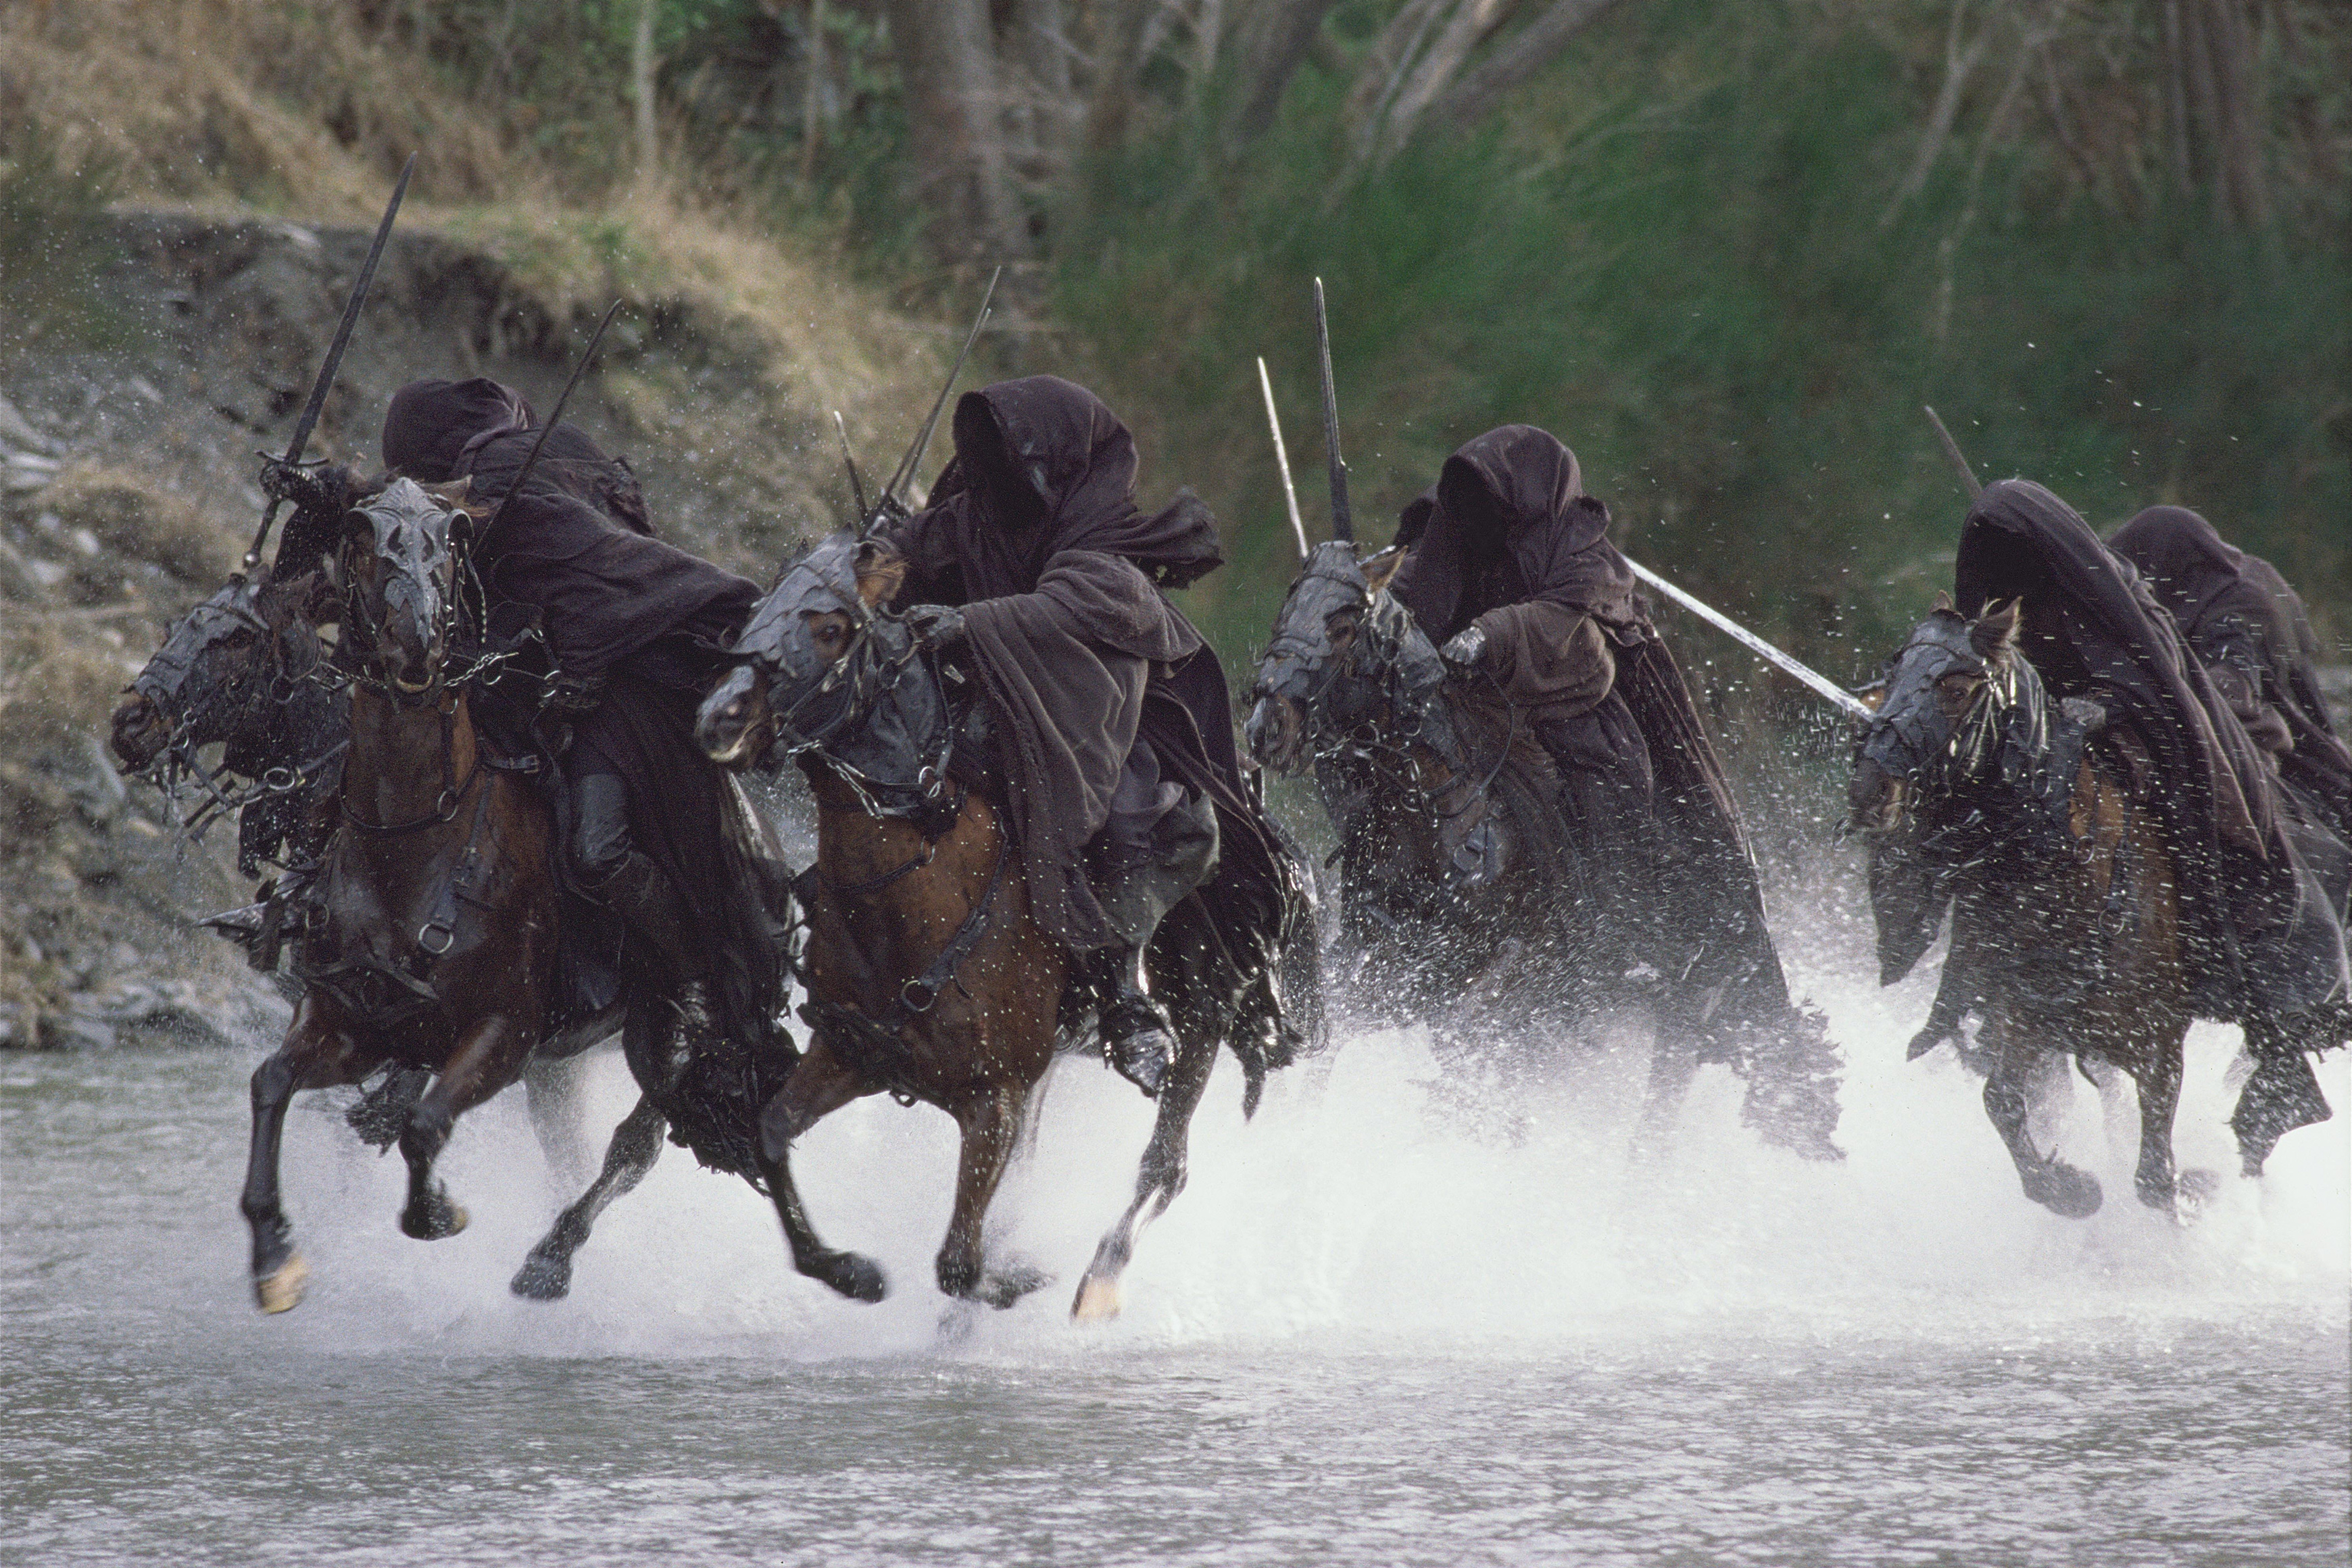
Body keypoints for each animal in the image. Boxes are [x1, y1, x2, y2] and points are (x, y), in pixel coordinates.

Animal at [696, 533, 1326, 1316]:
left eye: (830, 628)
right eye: (756, 614)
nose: (717, 719)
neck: (915, 891)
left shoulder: (991, 1101)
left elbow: (960, 1265)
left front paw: (1023, 1275)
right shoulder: (850, 1056)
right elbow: (772, 1132)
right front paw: (849, 1270)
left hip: (1203, 1015)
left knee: (1165, 1165)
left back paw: (1099, 1279)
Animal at [1844, 595, 2211, 1222]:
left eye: (1956, 687)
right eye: (1893, 677)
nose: (1870, 789)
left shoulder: (2160, 1045)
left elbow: (2154, 1179)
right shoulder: (2027, 1019)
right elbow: (2001, 1101)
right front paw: (2071, 1189)